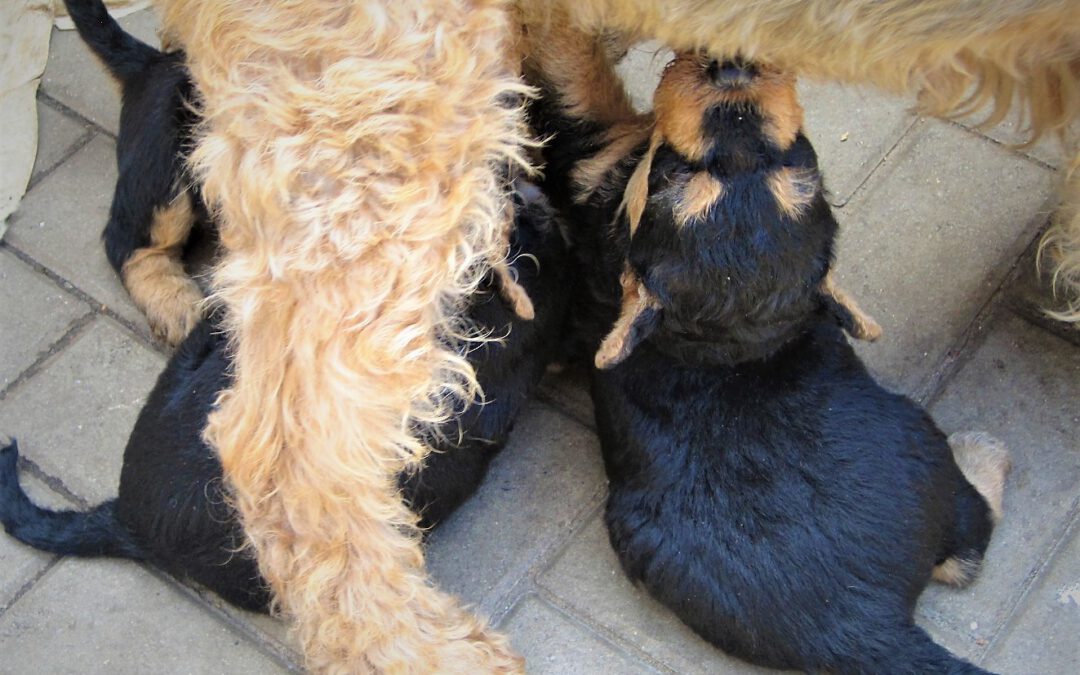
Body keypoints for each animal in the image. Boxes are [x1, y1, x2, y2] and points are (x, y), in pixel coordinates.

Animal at [562, 52, 1012, 673]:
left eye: (795, 161)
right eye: (674, 171)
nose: (730, 70)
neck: (727, 346)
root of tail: (865, 626)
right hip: (927, 450)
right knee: (971, 537)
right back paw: (984, 451)